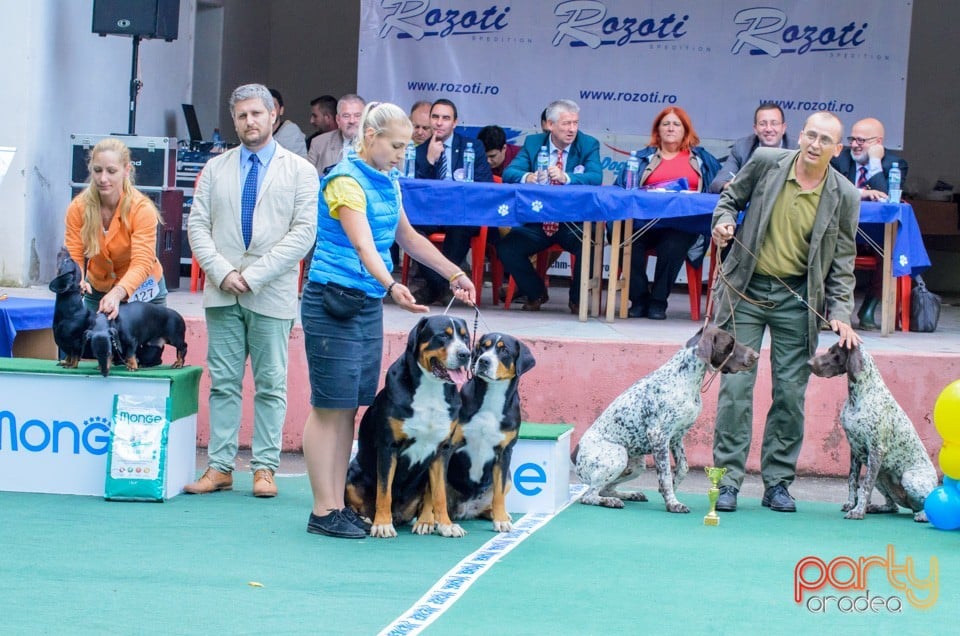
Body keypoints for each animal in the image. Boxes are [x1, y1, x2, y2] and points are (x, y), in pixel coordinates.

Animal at [348, 314, 476, 536]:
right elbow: (384, 491)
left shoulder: (442, 451)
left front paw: (446, 525)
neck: (431, 390)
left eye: (465, 337)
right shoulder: (388, 447)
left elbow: (439, 494)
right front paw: (383, 524)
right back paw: (365, 518)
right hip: (352, 474)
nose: (465, 354)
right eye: (443, 336)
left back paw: (425, 521)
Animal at [448, 332, 536, 532]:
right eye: (483, 347)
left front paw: (501, 520)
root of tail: (466, 509)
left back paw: (497, 514)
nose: (484, 361)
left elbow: (499, 494)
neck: (492, 397)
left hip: (509, 477)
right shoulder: (450, 445)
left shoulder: (504, 453)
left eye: (504, 350)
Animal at [572, 326, 760, 516]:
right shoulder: (659, 436)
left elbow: (683, 468)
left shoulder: (676, 437)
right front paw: (673, 503)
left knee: (605, 489)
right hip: (618, 456)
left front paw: (668, 492)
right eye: (730, 344)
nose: (756, 355)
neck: (685, 378)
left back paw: (629, 494)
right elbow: (666, 475)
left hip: (637, 465)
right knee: (588, 495)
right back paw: (611, 501)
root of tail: (575, 455)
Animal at [808, 342, 936, 520]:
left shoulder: (876, 451)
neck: (859, 395)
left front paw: (857, 511)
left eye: (834, 353)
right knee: (893, 506)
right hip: (882, 475)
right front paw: (851, 504)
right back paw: (875, 507)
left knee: (926, 504)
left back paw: (922, 515)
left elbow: (866, 486)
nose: (809, 363)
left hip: (908, 477)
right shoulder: (855, 450)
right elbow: (852, 480)